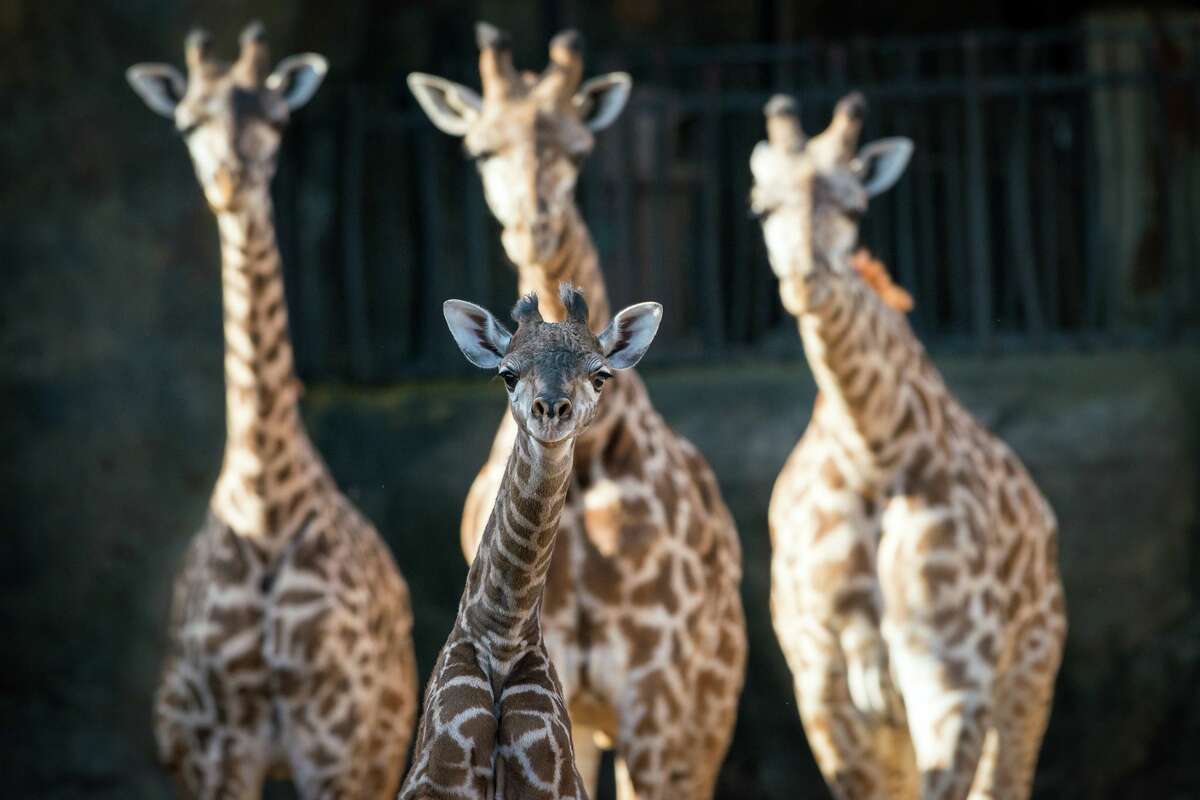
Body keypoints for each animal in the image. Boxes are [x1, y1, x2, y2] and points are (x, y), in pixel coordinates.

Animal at [127, 21, 417, 796]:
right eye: (188, 121)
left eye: (279, 119)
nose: (233, 183)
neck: (263, 506)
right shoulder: (221, 749)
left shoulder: (334, 741)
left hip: (382, 746)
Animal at [748, 94, 1070, 800]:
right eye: (763, 207)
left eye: (854, 207)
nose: (807, 279)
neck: (878, 451)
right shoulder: (825, 688)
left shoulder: (954, 678)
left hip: (1030, 673)